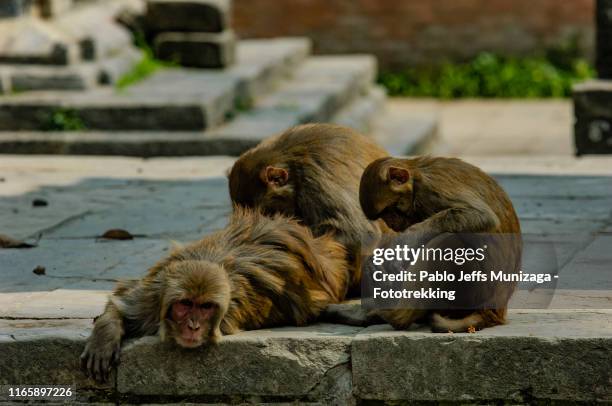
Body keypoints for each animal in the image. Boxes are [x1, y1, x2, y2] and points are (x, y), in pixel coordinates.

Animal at [81, 208, 350, 382]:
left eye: (205, 307)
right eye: (185, 304)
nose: (193, 326)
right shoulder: (150, 299)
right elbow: (122, 300)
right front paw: (104, 338)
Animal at [358, 157, 520, 332]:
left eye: (389, 210)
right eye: (383, 215)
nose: (390, 223)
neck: (416, 178)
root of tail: (495, 312)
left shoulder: (432, 189)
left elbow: (482, 216)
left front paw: (402, 243)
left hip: (476, 293)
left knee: (446, 241)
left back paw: (397, 316)